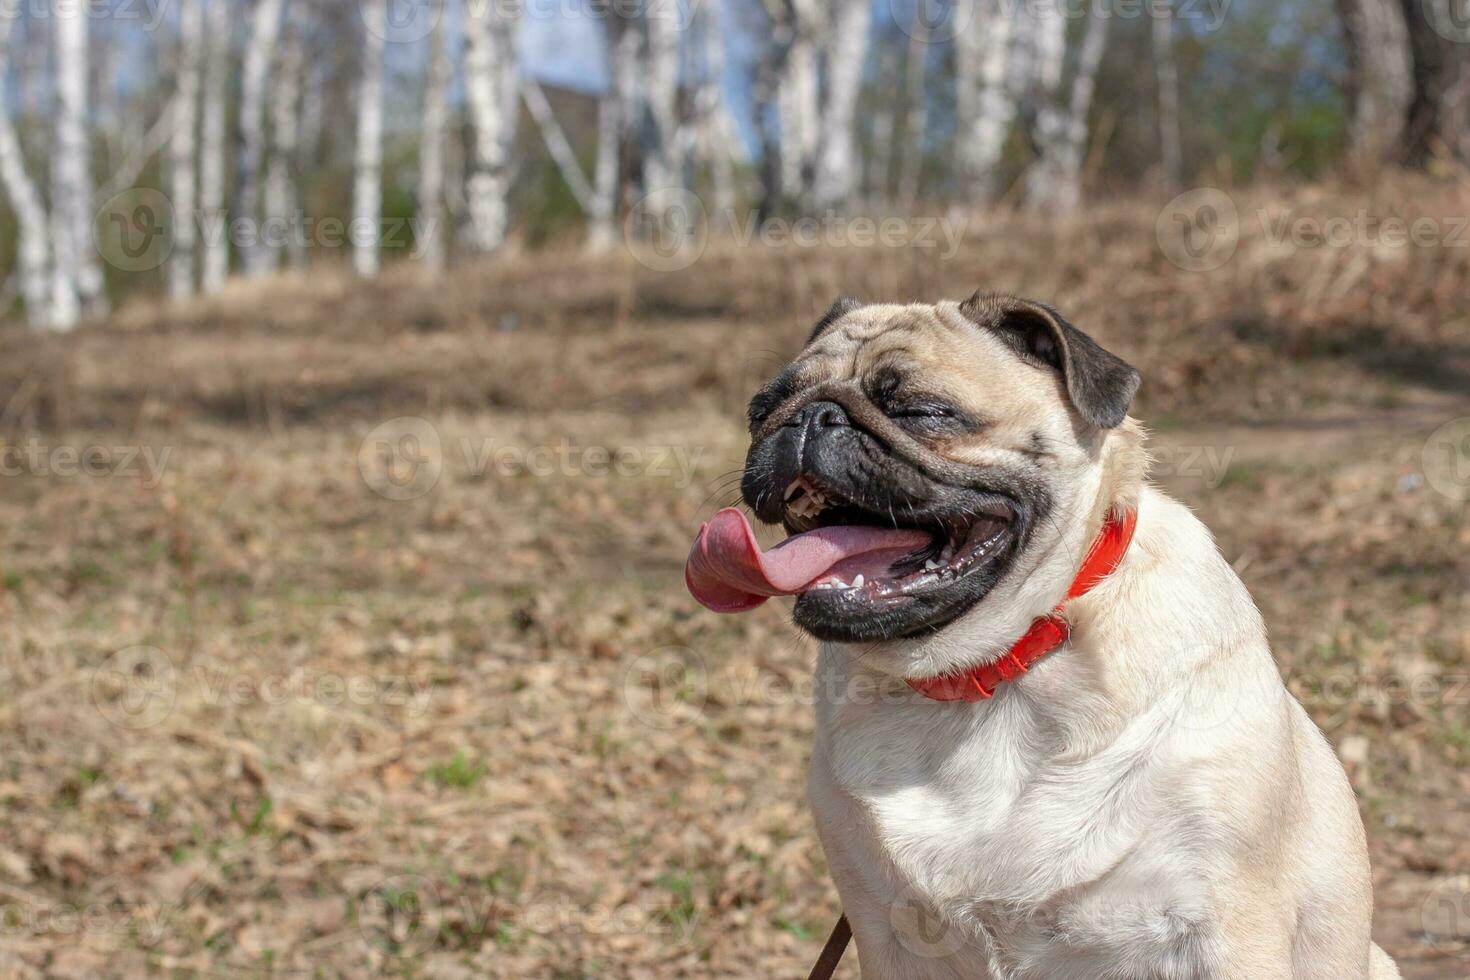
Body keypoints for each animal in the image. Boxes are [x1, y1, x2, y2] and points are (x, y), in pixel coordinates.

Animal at [682, 296, 1393, 980]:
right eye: (760, 411)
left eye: (923, 411)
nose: (808, 418)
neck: (993, 673)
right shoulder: (884, 929)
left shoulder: (1225, 927)